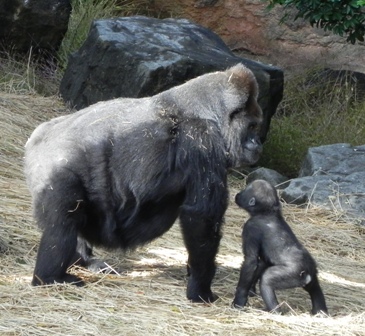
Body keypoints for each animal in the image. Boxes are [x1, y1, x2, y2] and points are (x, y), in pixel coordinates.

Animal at [24, 63, 262, 302]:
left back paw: (84, 260)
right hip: (53, 167)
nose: (258, 143)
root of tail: (39, 134)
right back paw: (50, 278)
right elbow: (202, 216)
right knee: (63, 220)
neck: (210, 108)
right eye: (251, 127)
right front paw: (200, 287)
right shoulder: (203, 140)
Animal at [233, 180, 328, 314]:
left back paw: (275, 311)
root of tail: (308, 274)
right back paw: (320, 312)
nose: (237, 195)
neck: (268, 212)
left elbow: (251, 261)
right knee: (315, 289)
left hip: (294, 273)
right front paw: (251, 291)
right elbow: (261, 263)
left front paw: (239, 299)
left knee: (267, 280)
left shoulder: (250, 227)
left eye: (243, 192)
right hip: (313, 273)